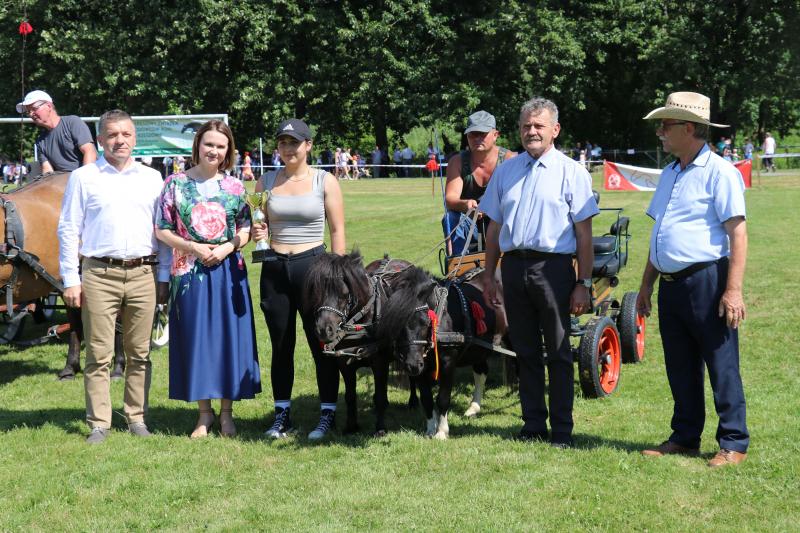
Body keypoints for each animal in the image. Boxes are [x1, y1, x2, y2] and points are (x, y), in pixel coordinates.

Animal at [303, 250, 415, 437]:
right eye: (317, 292)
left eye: (343, 293)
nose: (324, 330)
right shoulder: (344, 363)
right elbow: (350, 396)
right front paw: (351, 426)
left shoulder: (380, 363)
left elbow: (380, 396)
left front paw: (380, 428)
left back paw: (413, 401)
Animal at [377, 265, 509, 439]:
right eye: (395, 324)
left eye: (425, 321)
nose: (412, 365)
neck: (441, 316)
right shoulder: (423, 367)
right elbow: (426, 399)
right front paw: (430, 430)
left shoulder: (447, 362)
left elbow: (443, 398)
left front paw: (441, 432)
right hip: (479, 347)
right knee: (481, 371)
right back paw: (473, 408)